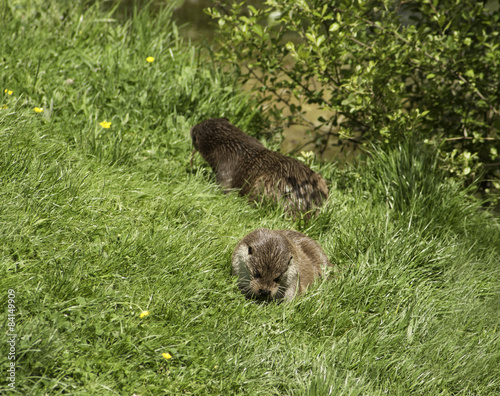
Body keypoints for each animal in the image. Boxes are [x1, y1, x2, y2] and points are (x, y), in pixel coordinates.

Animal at [190, 117, 328, 217]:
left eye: (194, 135)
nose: (191, 128)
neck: (231, 147)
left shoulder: (225, 168)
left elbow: (225, 188)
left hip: (265, 186)